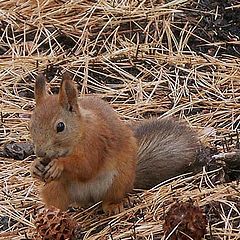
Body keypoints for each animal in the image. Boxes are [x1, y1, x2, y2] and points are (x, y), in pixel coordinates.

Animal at [29, 73, 199, 214]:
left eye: (60, 126)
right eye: (31, 125)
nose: (40, 153)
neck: (80, 132)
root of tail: (90, 199)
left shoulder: (95, 142)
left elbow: (86, 166)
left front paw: (59, 164)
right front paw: (35, 166)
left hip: (118, 181)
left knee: (108, 199)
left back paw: (114, 206)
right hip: (54, 187)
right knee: (58, 202)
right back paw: (52, 211)